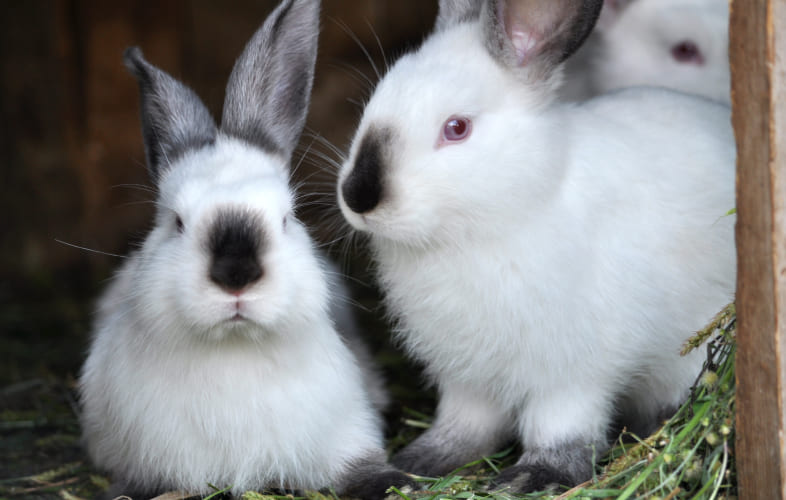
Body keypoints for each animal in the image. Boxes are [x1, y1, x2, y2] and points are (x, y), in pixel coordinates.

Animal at [77, 1, 412, 498]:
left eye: (287, 218)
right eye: (176, 222)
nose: (236, 275)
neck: (234, 351)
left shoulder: (346, 434)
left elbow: (360, 466)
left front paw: (393, 482)